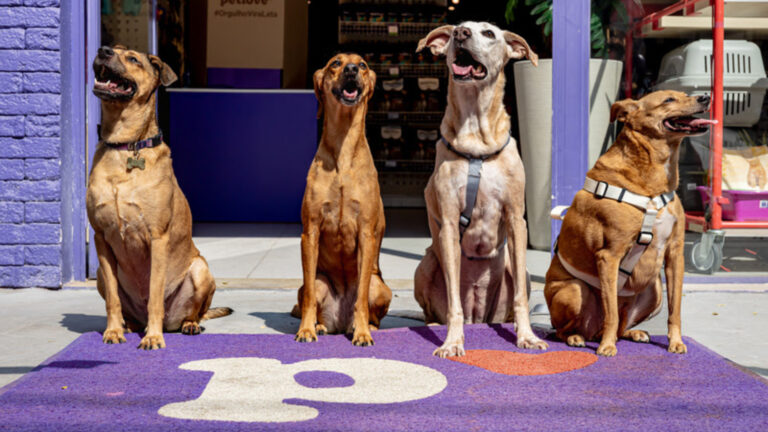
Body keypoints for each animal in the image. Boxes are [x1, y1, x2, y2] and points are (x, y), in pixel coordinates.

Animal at [87, 46, 230, 352]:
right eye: (112, 49)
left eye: (132, 59)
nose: (102, 50)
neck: (125, 146)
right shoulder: (101, 237)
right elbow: (113, 300)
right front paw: (113, 331)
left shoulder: (157, 237)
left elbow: (154, 294)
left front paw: (153, 338)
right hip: (101, 277)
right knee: (123, 306)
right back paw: (128, 325)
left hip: (200, 269)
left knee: (194, 311)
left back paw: (186, 325)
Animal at [292, 54, 392, 346]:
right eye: (335, 63)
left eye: (363, 65)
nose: (350, 69)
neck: (343, 150)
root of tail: (340, 321)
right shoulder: (310, 231)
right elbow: (310, 298)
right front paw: (306, 330)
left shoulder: (366, 233)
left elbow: (361, 298)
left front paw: (362, 334)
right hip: (317, 282)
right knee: (312, 296)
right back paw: (320, 325)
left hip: (380, 286)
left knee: (369, 304)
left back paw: (365, 327)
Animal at [544, 89, 716, 356]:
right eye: (669, 99)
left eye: (684, 94)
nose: (706, 96)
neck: (653, 185)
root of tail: (593, 331)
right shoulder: (609, 255)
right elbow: (611, 312)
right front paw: (606, 347)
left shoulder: (675, 253)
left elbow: (675, 309)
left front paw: (675, 342)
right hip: (574, 290)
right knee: (569, 328)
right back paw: (578, 338)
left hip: (654, 292)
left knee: (622, 324)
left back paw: (632, 333)